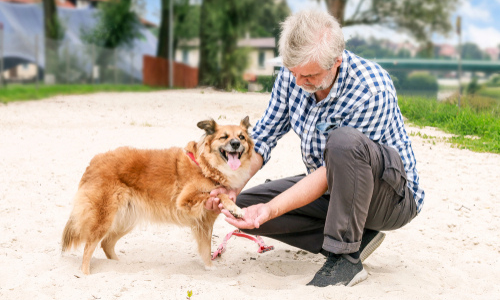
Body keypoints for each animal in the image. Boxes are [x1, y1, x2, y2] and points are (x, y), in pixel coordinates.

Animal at [61, 116, 254, 274]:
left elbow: (206, 248)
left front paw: (210, 267)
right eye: (224, 137)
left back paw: (119, 266)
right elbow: (219, 196)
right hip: (104, 219)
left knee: (106, 244)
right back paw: (86, 274)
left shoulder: (204, 222)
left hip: (126, 220)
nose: (235, 144)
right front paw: (235, 208)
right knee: (89, 247)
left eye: (241, 137)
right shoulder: (185, 200)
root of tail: (94, 162)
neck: (206, 166)